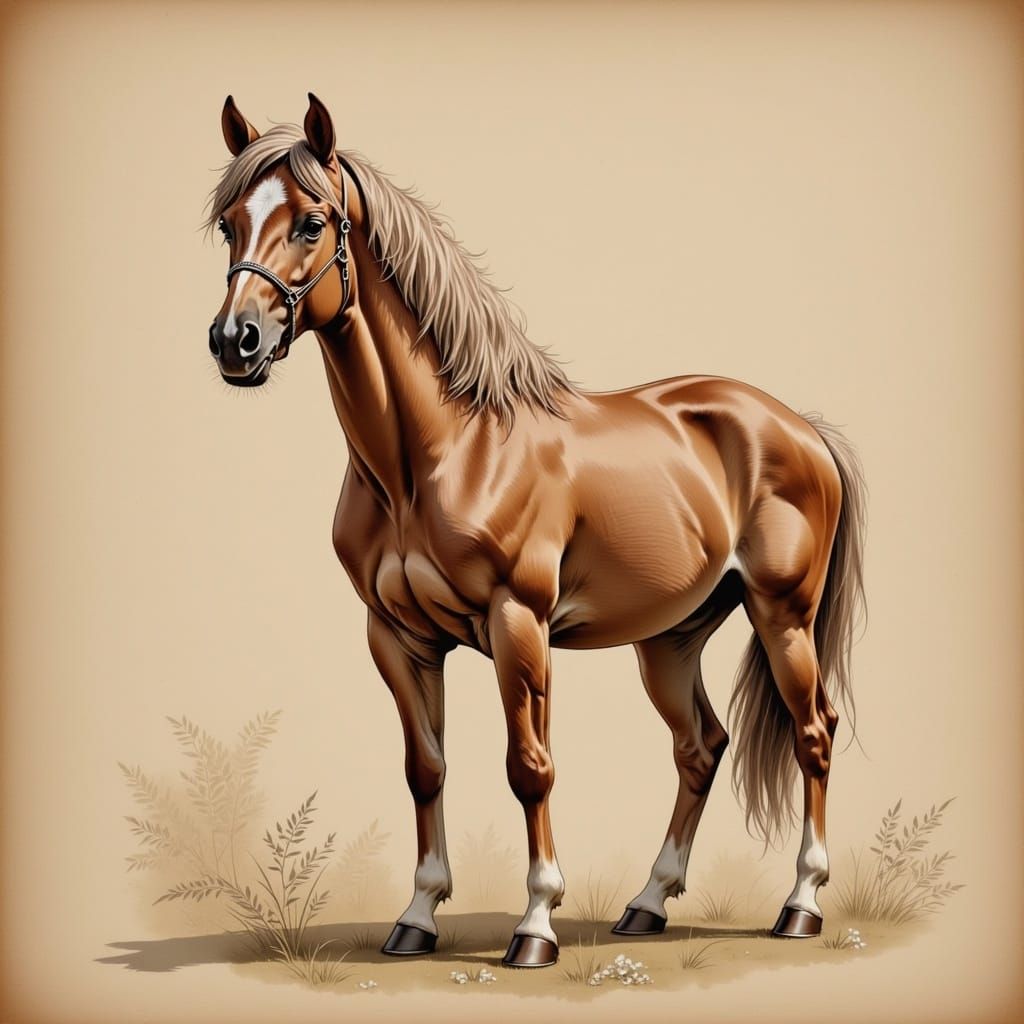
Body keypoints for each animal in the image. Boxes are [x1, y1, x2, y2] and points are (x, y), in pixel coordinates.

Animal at [205, 93, 866, 968]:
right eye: (229, 224)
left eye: (312, 222)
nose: (233, 340)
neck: (442, 452)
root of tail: (801, 428)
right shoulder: (397, 637)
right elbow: (425, 768)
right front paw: (416, 918)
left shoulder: (518, 623)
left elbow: (530, 767)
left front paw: (536, 924)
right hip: (670, 639)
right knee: (701, 747)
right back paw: (646, 905)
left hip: (783, 616)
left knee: (813, 735)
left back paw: (800, 905)